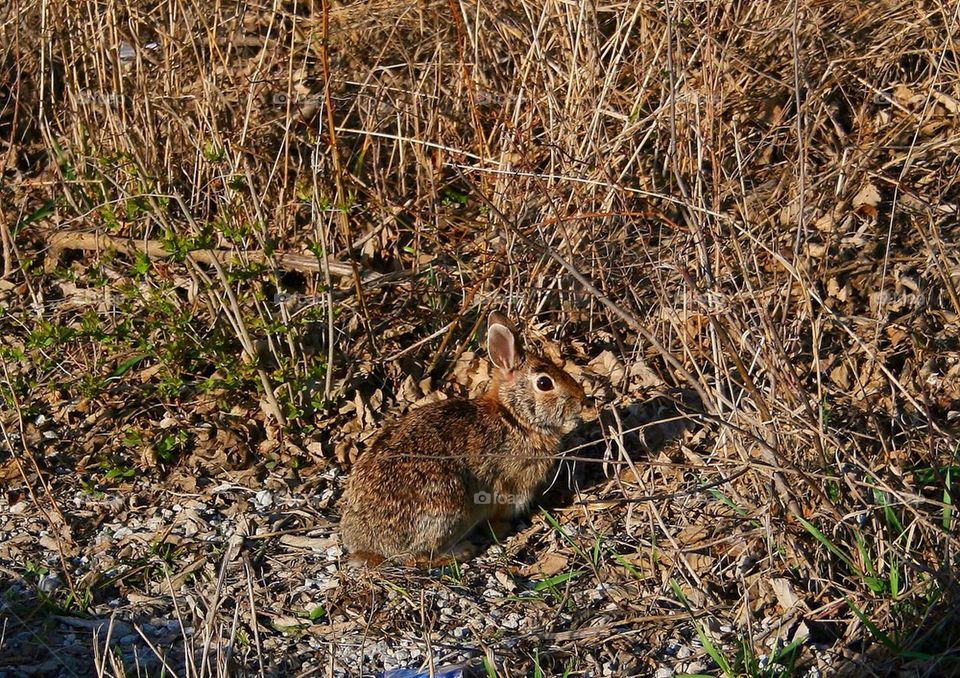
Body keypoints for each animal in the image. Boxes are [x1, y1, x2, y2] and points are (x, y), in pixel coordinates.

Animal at [342, 314, 588, 568]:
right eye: (544, 383)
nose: (582, 399)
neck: (514, 417)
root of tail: (369, 547)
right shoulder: (508, 486)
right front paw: (503, 529)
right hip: (449, 508)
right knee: (418, 557)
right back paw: (462, 551)